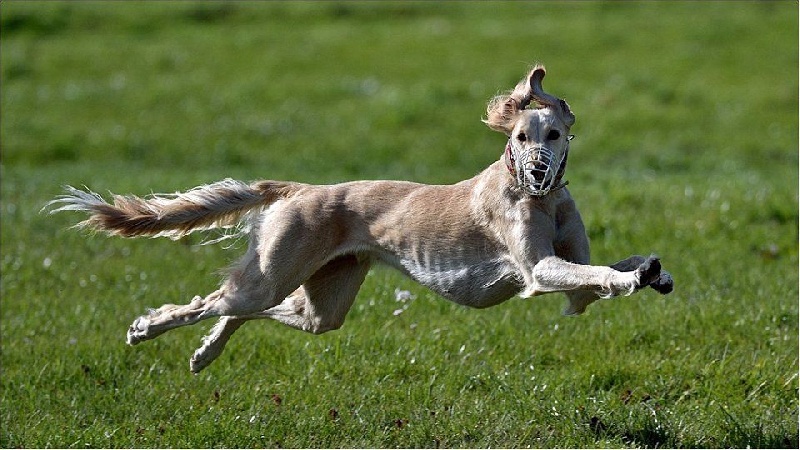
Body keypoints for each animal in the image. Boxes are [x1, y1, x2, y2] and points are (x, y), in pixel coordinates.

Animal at [48, 64, 676, 372]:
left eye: (553, 134)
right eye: (520, 137)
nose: (541, 170)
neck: (540, 199)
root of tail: (300, 189)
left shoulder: (571, 269)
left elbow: (602, 270)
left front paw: (652, 271)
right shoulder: (539, 271)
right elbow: (594, 276)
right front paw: (631, 278)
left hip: (323, 304)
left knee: (252, 311)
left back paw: (206, 353)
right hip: (275, 272)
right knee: (215, 301)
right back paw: (147, 329)